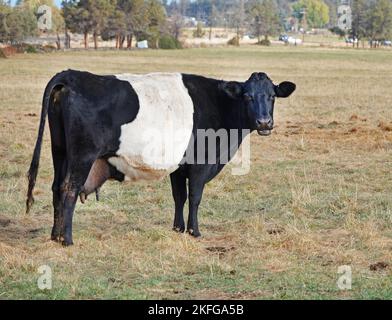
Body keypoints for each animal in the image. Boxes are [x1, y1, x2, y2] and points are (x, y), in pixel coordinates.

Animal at [26, 70, 296, 245]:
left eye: (272, 96)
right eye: (248, 96)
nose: (264, 122)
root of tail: (71, 75)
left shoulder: (179, 166)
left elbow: (179, 196)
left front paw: (178, 228)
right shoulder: (200, 164)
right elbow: (195, 197)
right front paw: (195, 232)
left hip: (60, 151)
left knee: (56, 188)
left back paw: (55, 235)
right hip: (83, 155)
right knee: (69, 189)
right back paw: (67, 239)